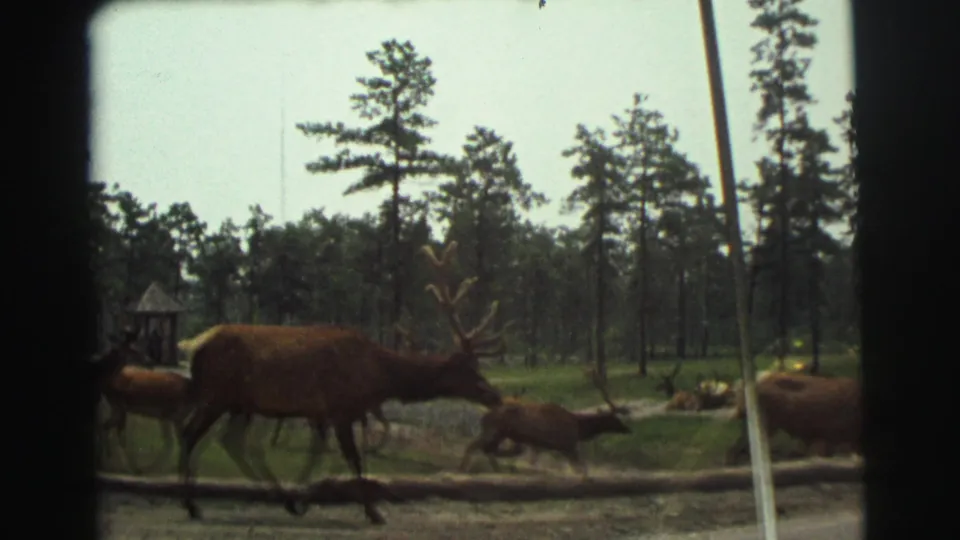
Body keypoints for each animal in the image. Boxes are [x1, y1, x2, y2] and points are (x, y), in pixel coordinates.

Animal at [175, 241, 505, 525]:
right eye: (468, 369)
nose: (496, 395)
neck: (380, 376)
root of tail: (193, 346)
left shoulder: (326, 413)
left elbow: (321, 456)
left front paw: (304, 498)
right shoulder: (340, 408)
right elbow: (353, 460)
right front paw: (373, 512)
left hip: (239, 403)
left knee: (231, 442)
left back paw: (278, 500)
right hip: (217, 395)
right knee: (191, 433)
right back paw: (191, 505)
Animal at [459, 367, 631, 478]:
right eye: (615, 419)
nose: (628, 429)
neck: (579, 427)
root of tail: (483, 416)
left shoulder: (550, 446)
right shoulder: (569, 444)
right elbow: (583, 469)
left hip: (499, 434)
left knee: (486, 448)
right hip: (494, 431)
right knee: (475, 446)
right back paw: (465, 469)